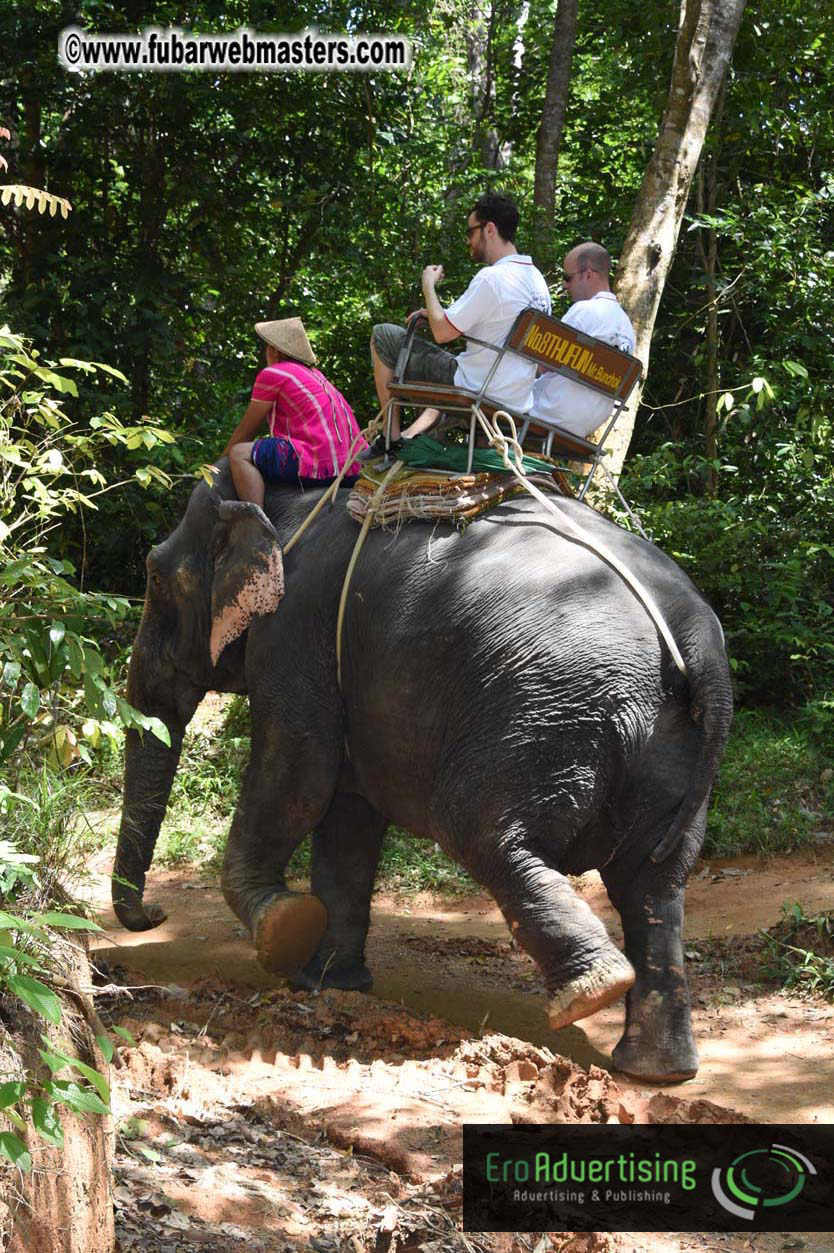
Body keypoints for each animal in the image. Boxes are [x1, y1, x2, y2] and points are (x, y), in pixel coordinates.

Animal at [113, 461, 733, 1083]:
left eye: (157, 579)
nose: (154, 913)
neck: (288, 505)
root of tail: (698, 638)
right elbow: (345, 816)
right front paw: (328, 984)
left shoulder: (295, 634)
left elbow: (299, 777)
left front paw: (282, 929)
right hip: (662, 744)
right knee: (653, 884)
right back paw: (656, 1068)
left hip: (544, 712)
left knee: (480, 831)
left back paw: (591, 994)